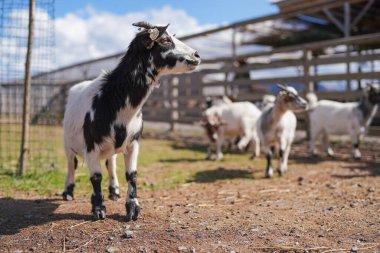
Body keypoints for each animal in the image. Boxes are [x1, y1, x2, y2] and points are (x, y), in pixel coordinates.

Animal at [61, 21, 202, 219]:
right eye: (165, 40)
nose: (196, 55)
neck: (112, 99)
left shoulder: (133, 143)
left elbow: (132, 175)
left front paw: (133, 207)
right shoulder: (91, 146)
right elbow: (96, 177)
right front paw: (98, 209)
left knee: (111, 164)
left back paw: (114, 191)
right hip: (68, 144)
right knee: (71, 165)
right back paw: (68, 192)